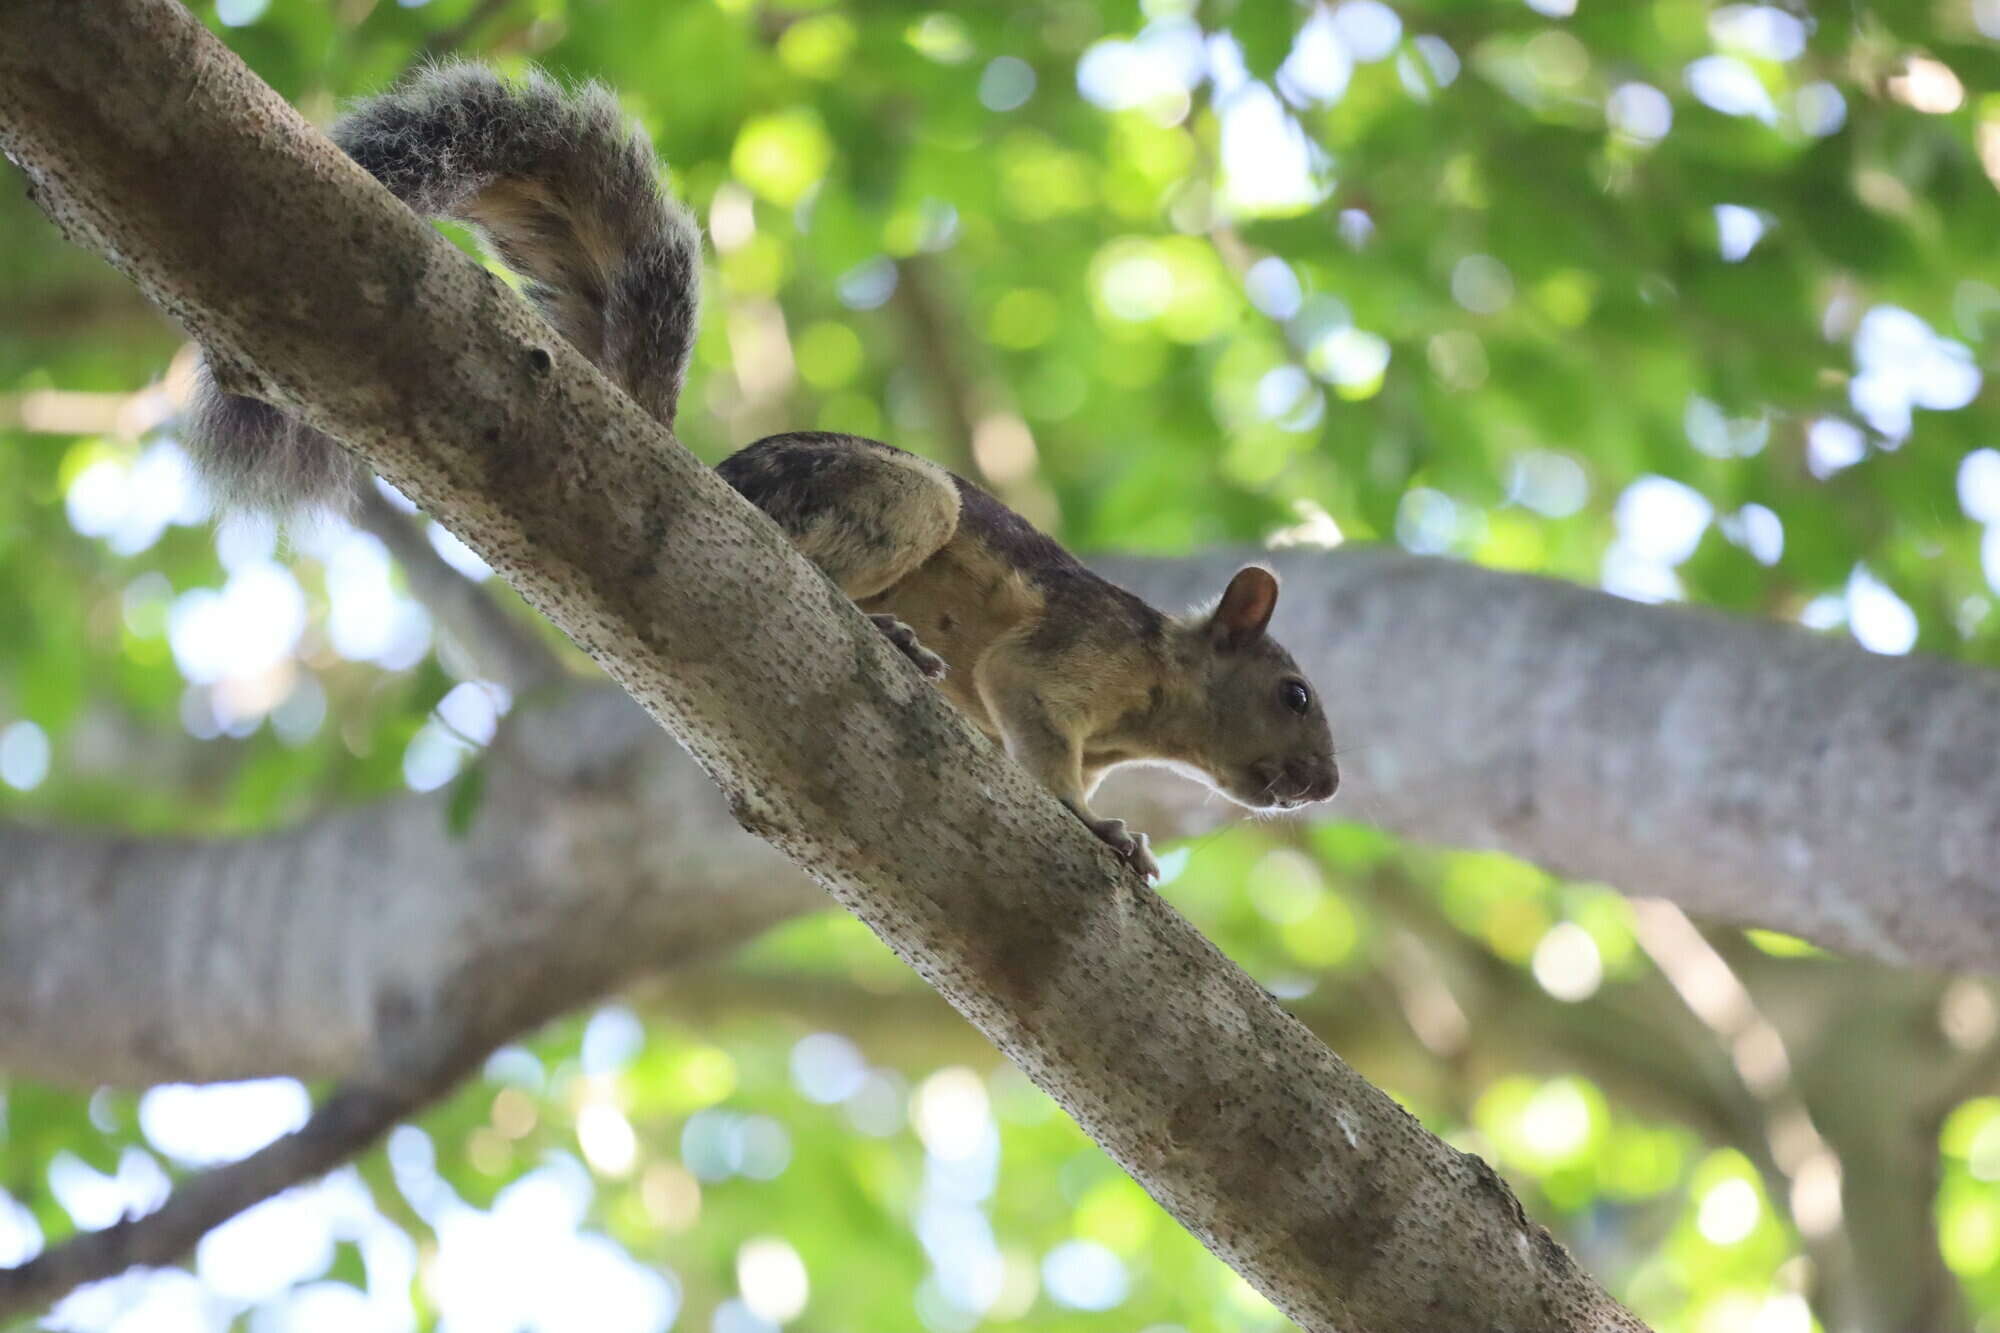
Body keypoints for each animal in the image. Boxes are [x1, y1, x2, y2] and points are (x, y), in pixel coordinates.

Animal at [191, 65, 1344, 872]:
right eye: (1293, 693)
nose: (1327, 784)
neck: (1156, 690)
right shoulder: (1072, 654)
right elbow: (1026, 702)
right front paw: (1098, 831)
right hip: (897, 502)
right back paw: (885, 631)